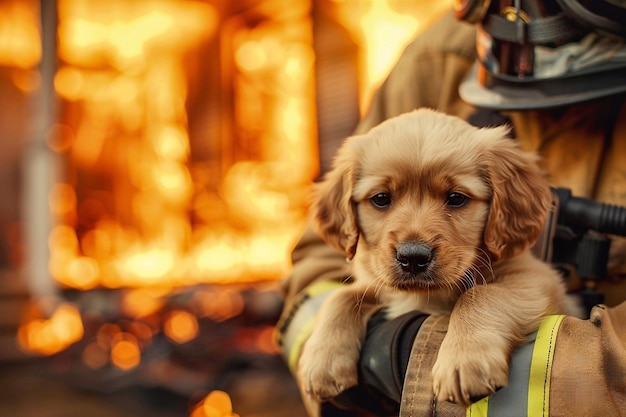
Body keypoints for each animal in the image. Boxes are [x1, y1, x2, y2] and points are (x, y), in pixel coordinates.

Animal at [298, 106, 576, 406]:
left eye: (456, 198)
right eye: (381, 198)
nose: (413, 257)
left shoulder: (538, 279)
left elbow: (481, 294)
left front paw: (465, 360)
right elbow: (342, 296)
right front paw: (322, 361)